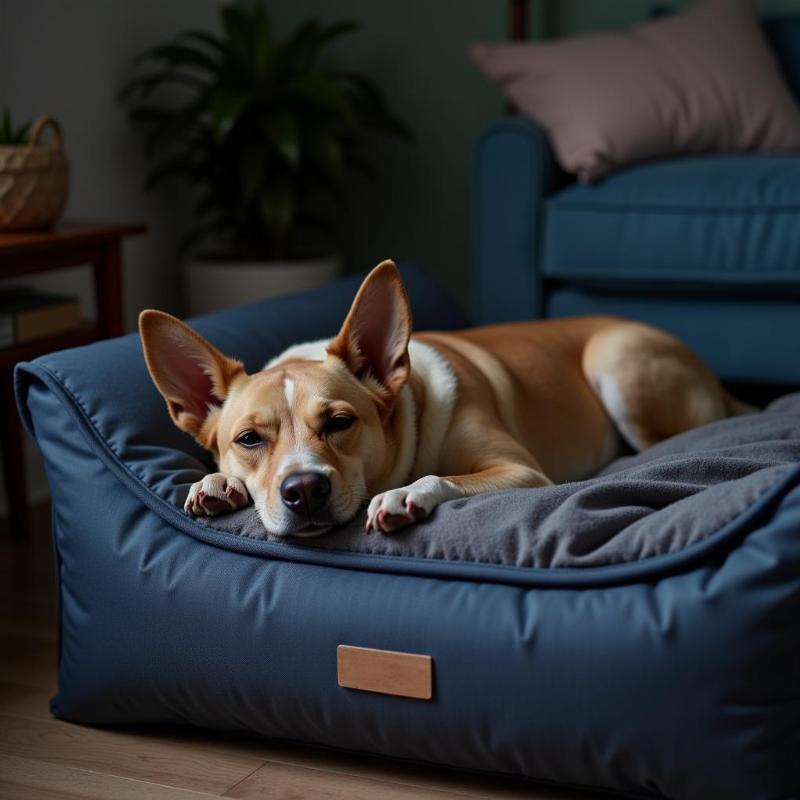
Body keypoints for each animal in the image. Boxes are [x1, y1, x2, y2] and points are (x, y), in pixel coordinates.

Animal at [139, 262, 752, 536]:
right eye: (248, 439)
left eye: (339, 422)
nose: (304, 490)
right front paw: (215, 484)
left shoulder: (522, 471)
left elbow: (442, 477)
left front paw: (406, 494)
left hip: (616, 360)